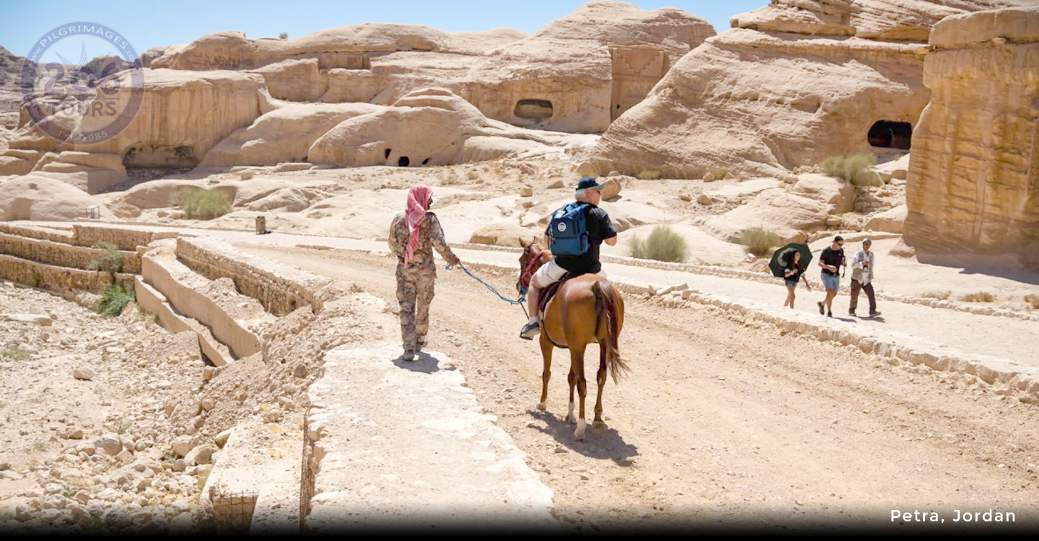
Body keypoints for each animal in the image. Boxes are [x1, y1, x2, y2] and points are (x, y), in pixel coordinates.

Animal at [517, 238, 627, 440]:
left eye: (521, 261)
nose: (518, 286)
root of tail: (598, 285)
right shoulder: (573, 346)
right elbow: (571, 377)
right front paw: (570, 413)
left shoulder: (547, 342)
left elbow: (547, 373)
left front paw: (542, 403)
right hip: (602, 345)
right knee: (600, 376)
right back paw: (597, 419)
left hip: (578, 347)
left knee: (583, 383)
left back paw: (581, 427)